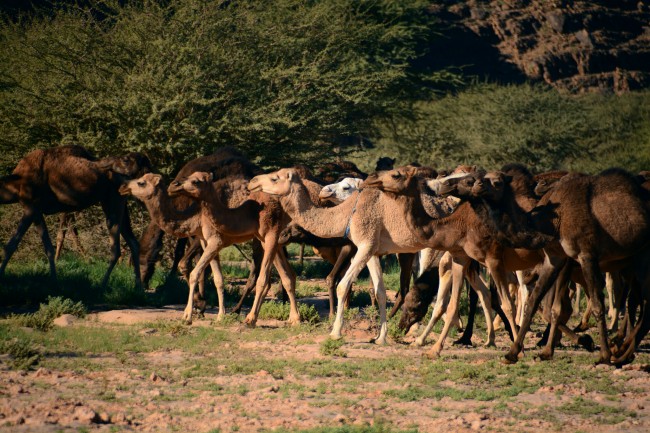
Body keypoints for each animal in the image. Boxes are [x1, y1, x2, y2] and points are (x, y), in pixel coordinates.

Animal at [0, 145, 149, 288]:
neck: (17, 182)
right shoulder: (37, 211)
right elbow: (48, 247)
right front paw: (54, 281)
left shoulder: (30, 207)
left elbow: (11, 245)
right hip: (120, 205)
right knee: (134, 243)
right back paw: (138, 287)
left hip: (113, 203)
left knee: (116, 249)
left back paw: (102, 286)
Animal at [469, 168, 650, 364]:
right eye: (484, 177)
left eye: (497, 182)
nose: (477, 184)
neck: (554, 221)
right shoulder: (554, 258)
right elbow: (535, 302)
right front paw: (514, 353)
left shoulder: (586, 255)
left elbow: (596, 304)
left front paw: (603, 355)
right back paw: (623, 352)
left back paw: (619, 352)